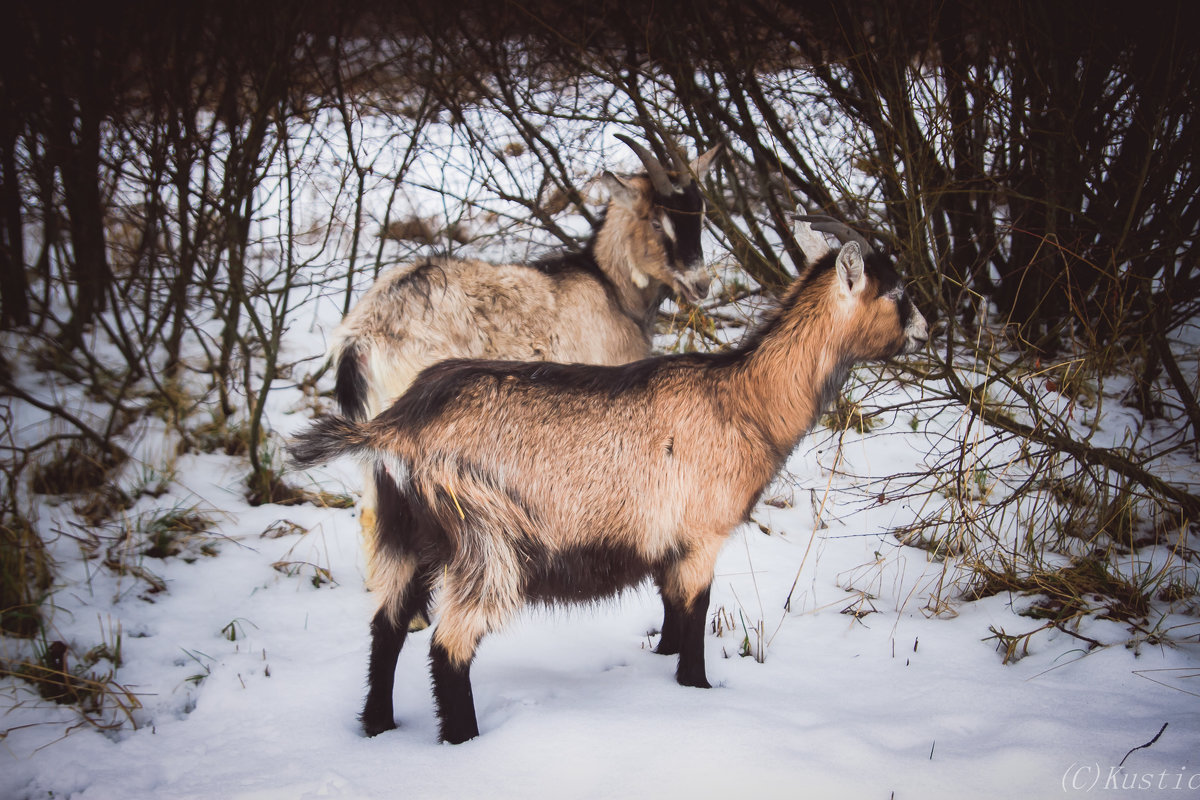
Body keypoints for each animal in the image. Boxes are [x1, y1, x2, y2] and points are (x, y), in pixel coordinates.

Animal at [290, 236, 926, 743]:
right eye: (897, 292)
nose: (926, 330)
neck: (741, 400)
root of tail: (395, 427)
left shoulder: (667, 540)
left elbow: (671, 609)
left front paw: (663, 661)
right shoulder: (701, 534)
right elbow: (696, 612)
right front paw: (696, 689)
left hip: (405, 532)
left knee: (387, 626)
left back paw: (377, 725)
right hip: (485, 537)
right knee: (449, 646)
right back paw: (463, 741)